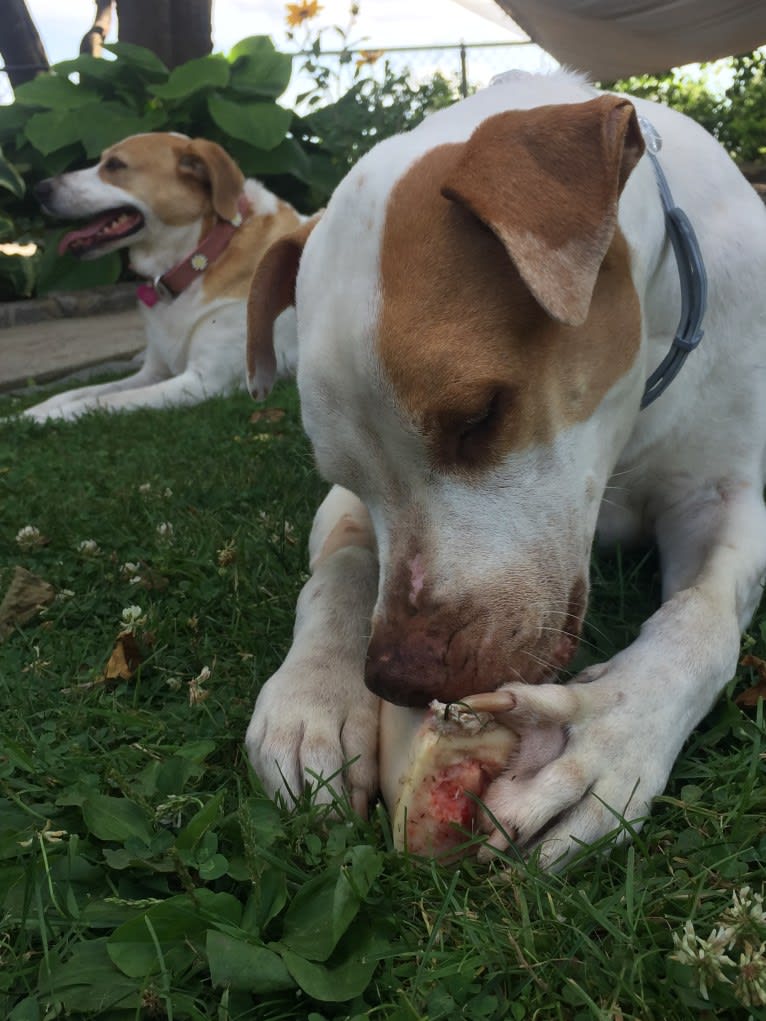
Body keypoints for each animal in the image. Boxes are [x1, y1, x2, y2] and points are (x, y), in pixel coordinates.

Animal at [24, 132, 300, 422]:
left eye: (115, 165)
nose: (39, 189)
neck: (201, 258)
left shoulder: (205, 381)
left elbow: (101, 401)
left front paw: (44, 418)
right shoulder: (153, 372)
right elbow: (83, 392)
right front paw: (29, 412)